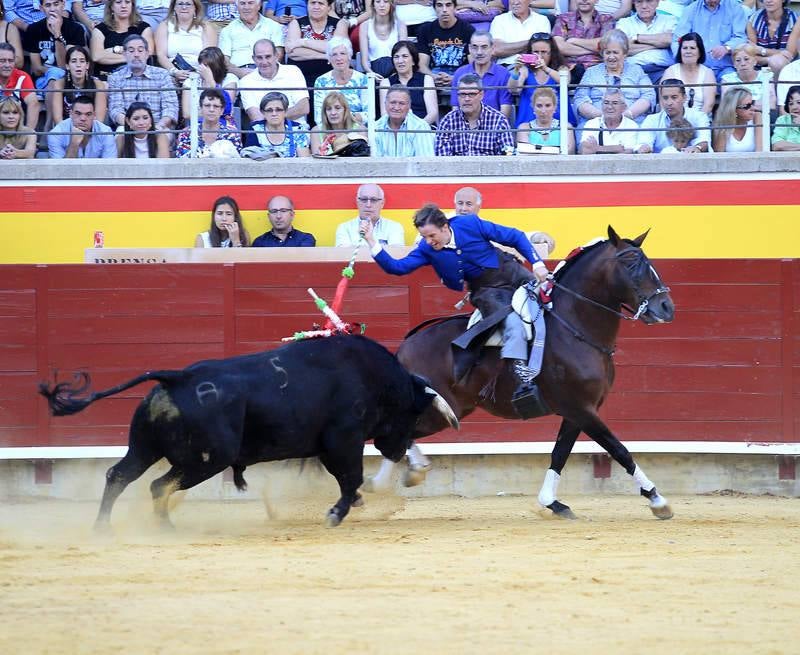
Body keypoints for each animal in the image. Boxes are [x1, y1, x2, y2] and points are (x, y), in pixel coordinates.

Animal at [40, 336, 460, 532]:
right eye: (412, 417)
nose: (397, 449)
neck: (377, 379)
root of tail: (178, 377)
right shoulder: (343, 438)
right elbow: (350, 476)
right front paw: (336, 513)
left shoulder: (329, 445)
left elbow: (347, 479)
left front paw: (352, 503)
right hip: (207, 459)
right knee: (159, 485)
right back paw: (163, 527)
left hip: (144, 448)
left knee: (119, 475)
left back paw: (104, 528)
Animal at [368, 228, 676, 520]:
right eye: (630, 263)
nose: (666, 307)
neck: (574, 327)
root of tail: (402, 348)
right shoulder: (581, 408)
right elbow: (618, 448)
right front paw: (658, 500)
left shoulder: (578, 411)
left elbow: (560, 453)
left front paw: (552, 503)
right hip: (440, 412)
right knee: (393, 434)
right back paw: (391, 481)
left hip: (453, 410)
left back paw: (391, 480)